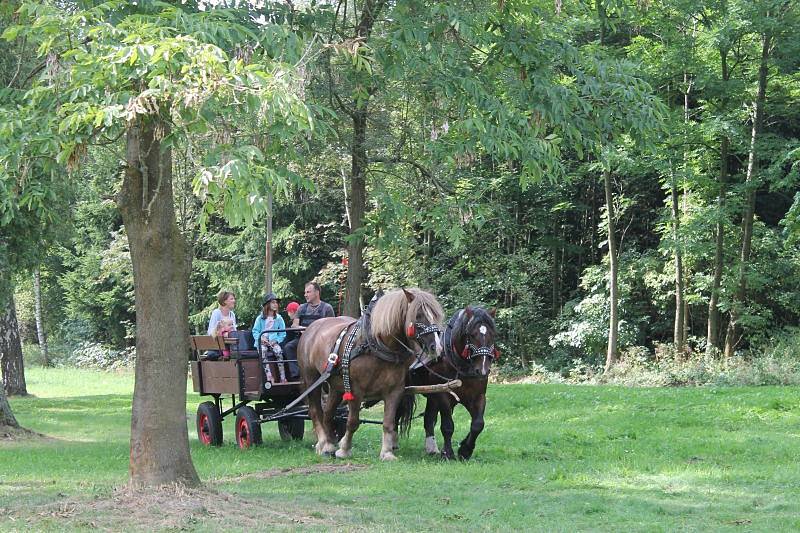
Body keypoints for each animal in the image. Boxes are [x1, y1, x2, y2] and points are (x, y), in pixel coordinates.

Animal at [296, 288, 444, 460]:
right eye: (418, 315)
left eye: (435, 314)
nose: (436, 347)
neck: (377, 345)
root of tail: (312, 327)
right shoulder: (355, 390)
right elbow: (353, 422)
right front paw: (344, 449)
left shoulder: (395, 391)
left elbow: (389, 422)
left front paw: (387, 453)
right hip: (311, 379)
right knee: (315, 411)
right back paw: (323, 443)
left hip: (336, 386)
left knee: (328, 413)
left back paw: (329, 443)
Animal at [410, 306, 496, 460]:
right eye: (472, 335)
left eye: (493, 334)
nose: (483, 370)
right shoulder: (443, 395)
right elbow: (447, 425)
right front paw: (448, 453)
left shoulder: (478, 396)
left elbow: (478, 424)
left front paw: (465, 449)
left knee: (429, 418)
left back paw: (431, 448)